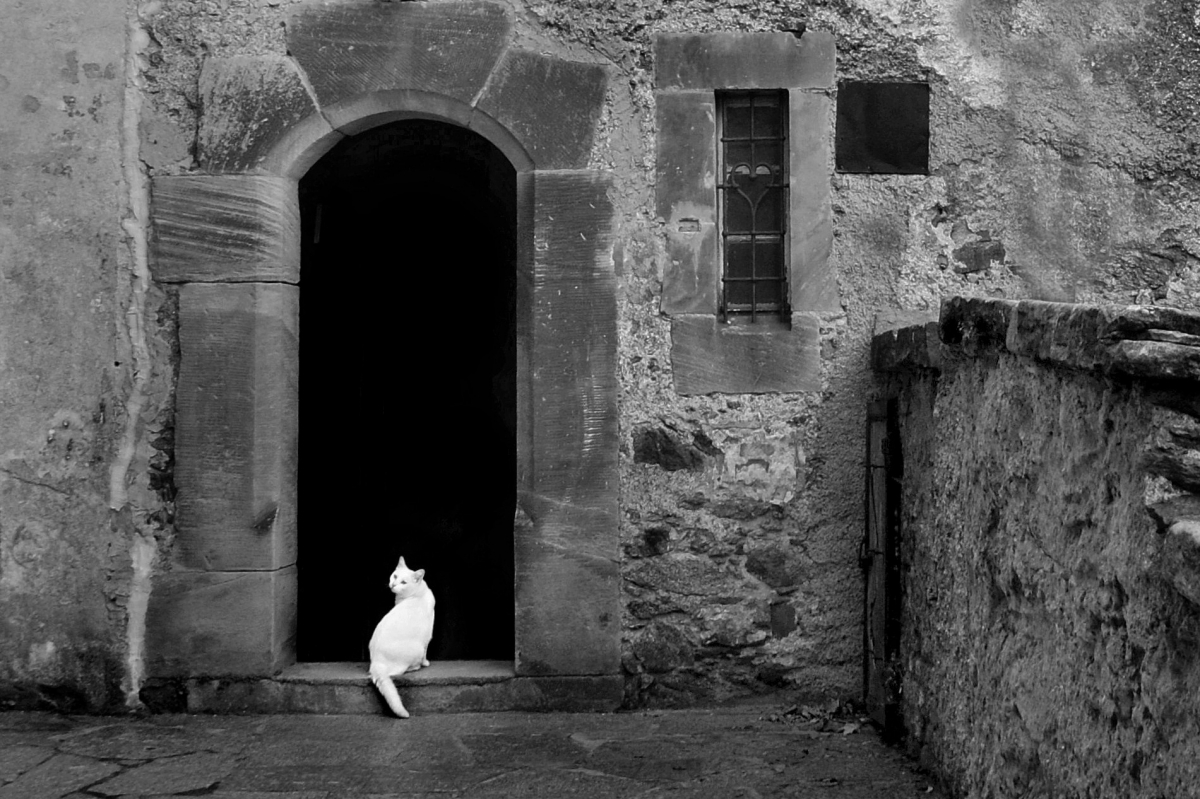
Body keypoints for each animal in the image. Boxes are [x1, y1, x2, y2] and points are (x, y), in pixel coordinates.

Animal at [368, 556, 435, 718]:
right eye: (395, 576)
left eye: (404, 582)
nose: (393, 584)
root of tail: (376, 663)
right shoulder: (427, 638)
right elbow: (426, 654)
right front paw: (426, 663)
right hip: (416, 649)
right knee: (405, 669)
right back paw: (416, 666)